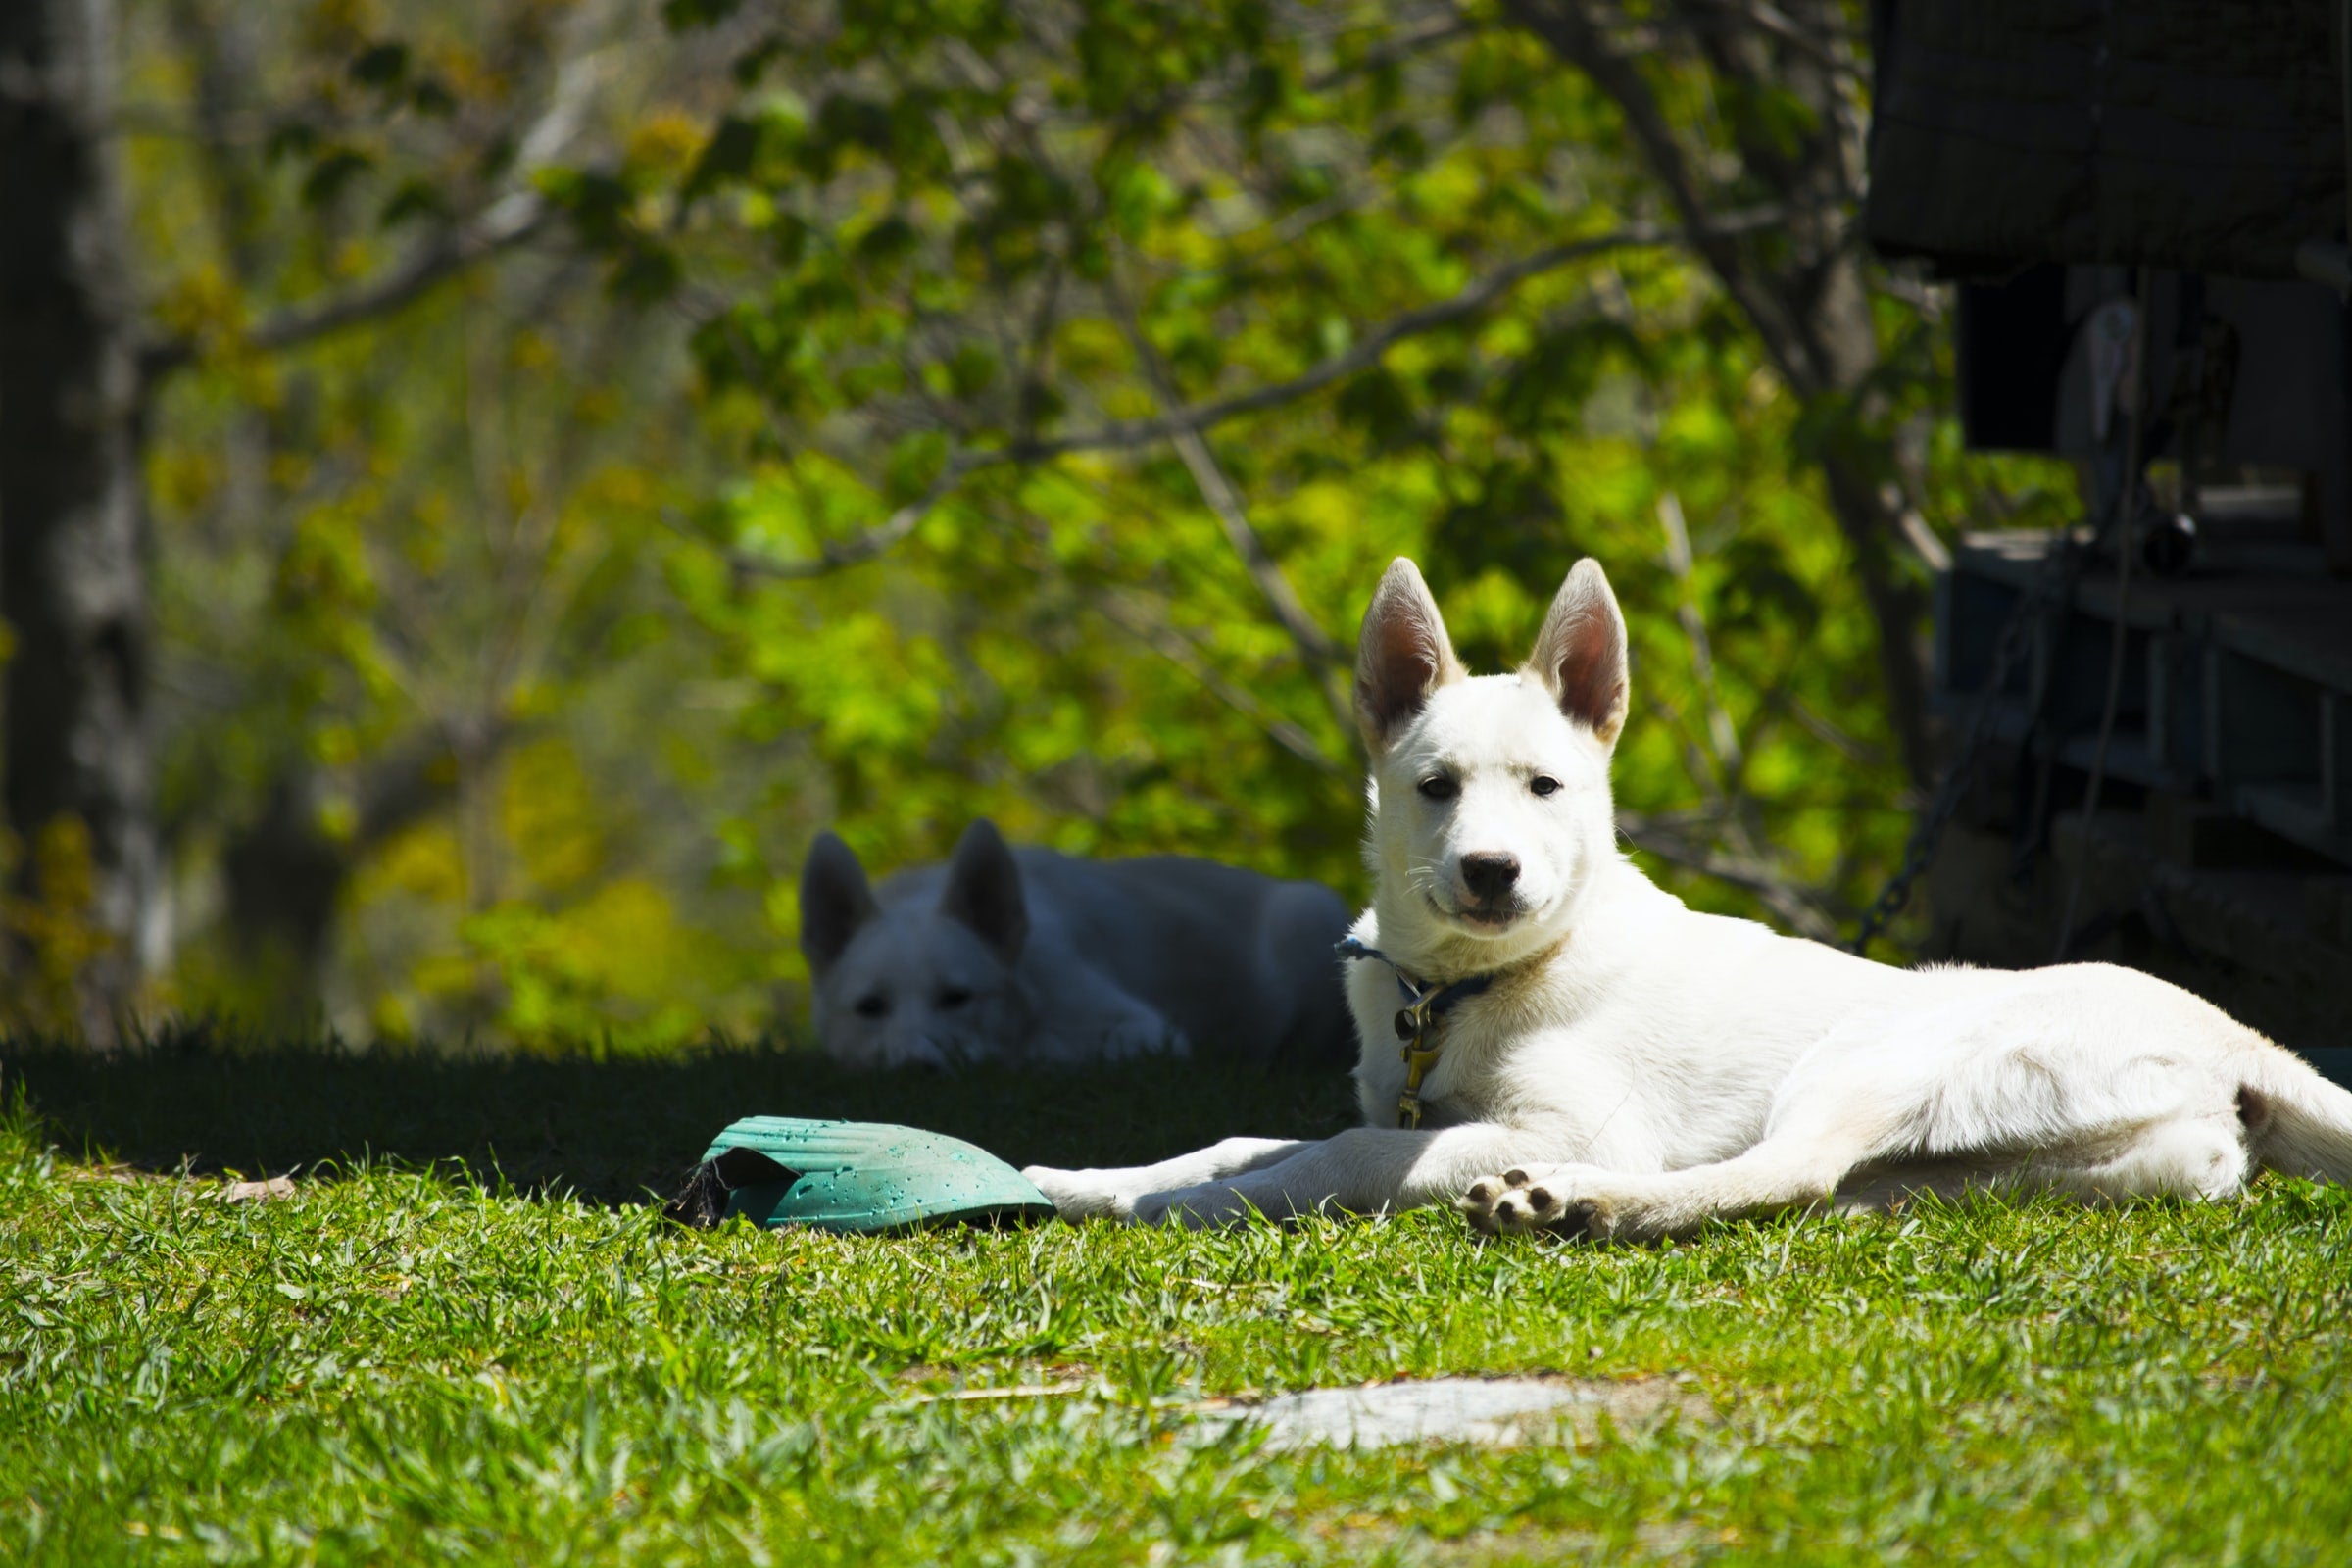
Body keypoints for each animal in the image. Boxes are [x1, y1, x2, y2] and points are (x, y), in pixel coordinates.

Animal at [804, 822, 1354, 1067]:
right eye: (870, 1008)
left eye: (957, 998)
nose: (916, 1067)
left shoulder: (1146, 1030)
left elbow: (1041, 1051)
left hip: (1308, 914)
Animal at [1025, 557, 2352, 1231]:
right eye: (1436, 787)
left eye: (1547, 786)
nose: (1492, 872)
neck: (1470, 990)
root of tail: (2239, 1038)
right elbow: (1245, 1136)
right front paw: (1091, 1182)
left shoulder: (1566, 1118)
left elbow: (1335, 1154)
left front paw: (1189, 1204)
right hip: (2024, 1162)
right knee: (1825, 1188)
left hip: (1877, 1049)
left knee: (1784, 1170)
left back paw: (1571, 1202)